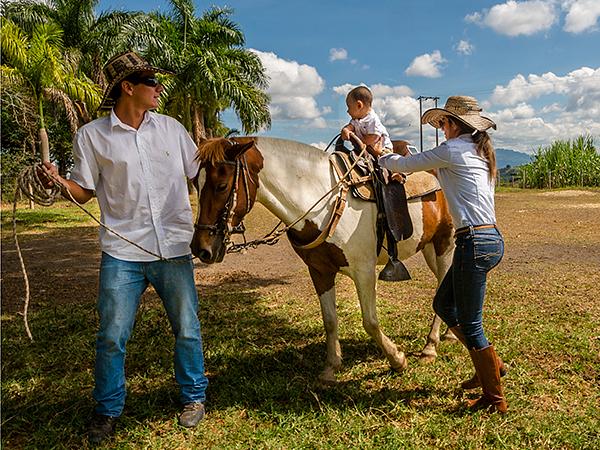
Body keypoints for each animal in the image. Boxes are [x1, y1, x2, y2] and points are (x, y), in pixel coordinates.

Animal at [192, 138, 454, 384]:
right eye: (195, 183)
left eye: (222, 186)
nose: (201, 249)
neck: (326, 202)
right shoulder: (319, 271)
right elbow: (329, 319)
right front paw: (332, 366)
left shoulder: (364, 270)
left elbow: (370, 321)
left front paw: (397, 359)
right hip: (429, 246)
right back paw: (449, 334)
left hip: (445, 242)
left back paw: (430, 347)